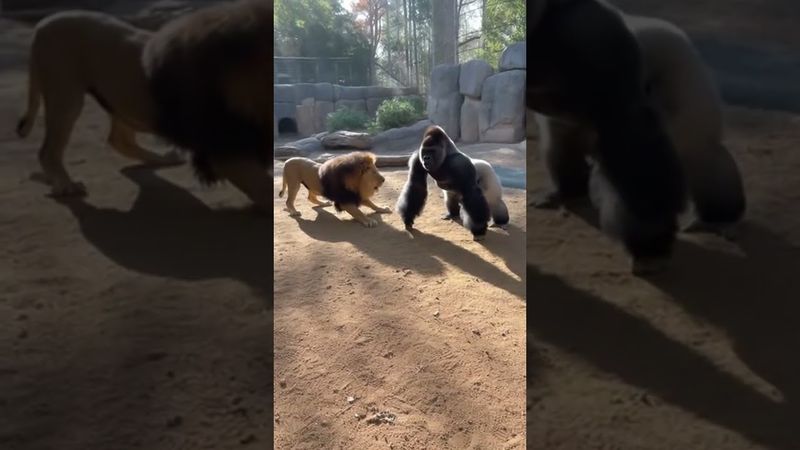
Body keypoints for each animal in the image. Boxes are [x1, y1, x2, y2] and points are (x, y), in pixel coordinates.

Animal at [17, 10, 185, 197]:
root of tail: (41, 27)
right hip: (67, 95)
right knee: (48, 151)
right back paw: (68, 185)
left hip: (120, 96)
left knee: (120, 139)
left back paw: (166, 158)